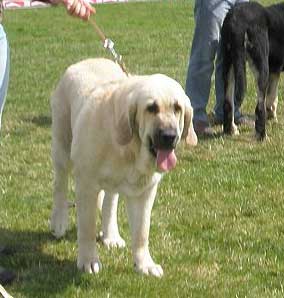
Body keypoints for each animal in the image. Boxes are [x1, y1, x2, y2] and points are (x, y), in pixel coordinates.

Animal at [222, 1, 284, 140]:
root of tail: (236, 19)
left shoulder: (275, 71)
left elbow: (272, 97)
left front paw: (272, 116)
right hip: (261, 65)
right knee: (259, 107)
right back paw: (262, 137)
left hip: (229, 64)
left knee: (228, 103)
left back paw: (231, 130)